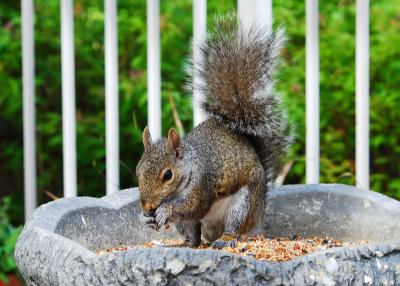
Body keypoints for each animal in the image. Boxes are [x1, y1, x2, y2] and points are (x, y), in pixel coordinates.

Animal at [136, 12, 292, 248]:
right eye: (138, 171)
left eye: (167, 175)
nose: (147, 206)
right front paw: (145, 218)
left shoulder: (203, 184)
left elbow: (193, 206)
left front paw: (165, 210)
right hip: (195, 225)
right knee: (194, 236)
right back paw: (186, 243)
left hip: (242, 205)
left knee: (233, 227)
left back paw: (226, 237)